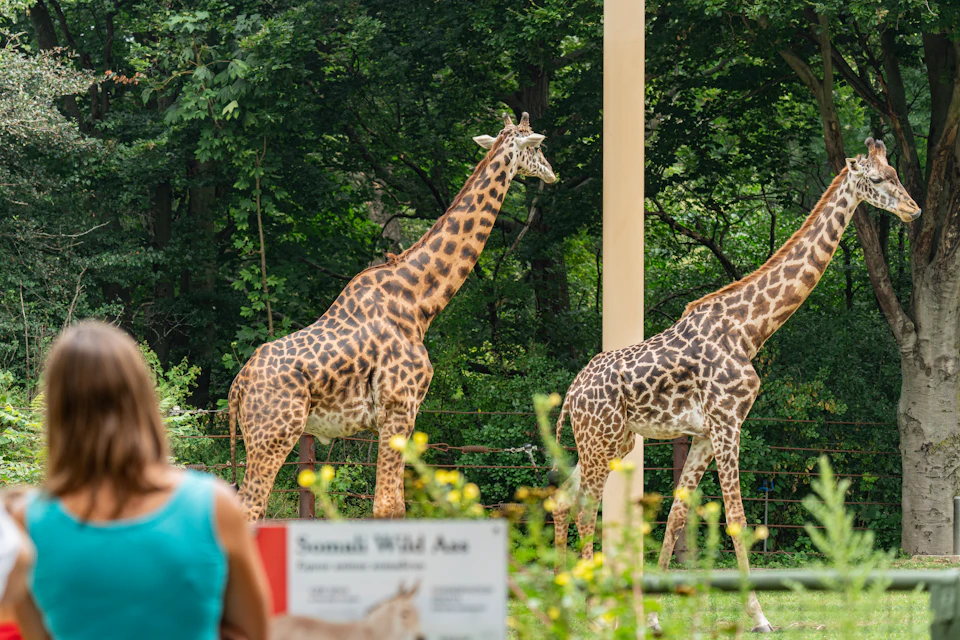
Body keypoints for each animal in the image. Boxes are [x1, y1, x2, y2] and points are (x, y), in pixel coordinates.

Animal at [229, 112, 555, 521]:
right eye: (538, 147)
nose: (552, 173)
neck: (419, 303)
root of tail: (237, 388)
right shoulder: (400, 407)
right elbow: (387, 507)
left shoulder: (396, 415)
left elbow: (395, 504)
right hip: (274, 435)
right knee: (248, 510)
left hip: (261, 437)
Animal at [551, 138, 919, 632]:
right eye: (878, 179)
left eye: (896, 172)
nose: (914, 209)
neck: (751, 329)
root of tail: (571, 394)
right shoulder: (728, 424)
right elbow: (738, 519)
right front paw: (759, 616)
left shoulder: (705, 434)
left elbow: (676, 515)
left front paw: (654, 615)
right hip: (601, 438)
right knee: (586, 508)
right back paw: (594, 615)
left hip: (610, 442)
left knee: (563, 501)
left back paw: (563, 604)